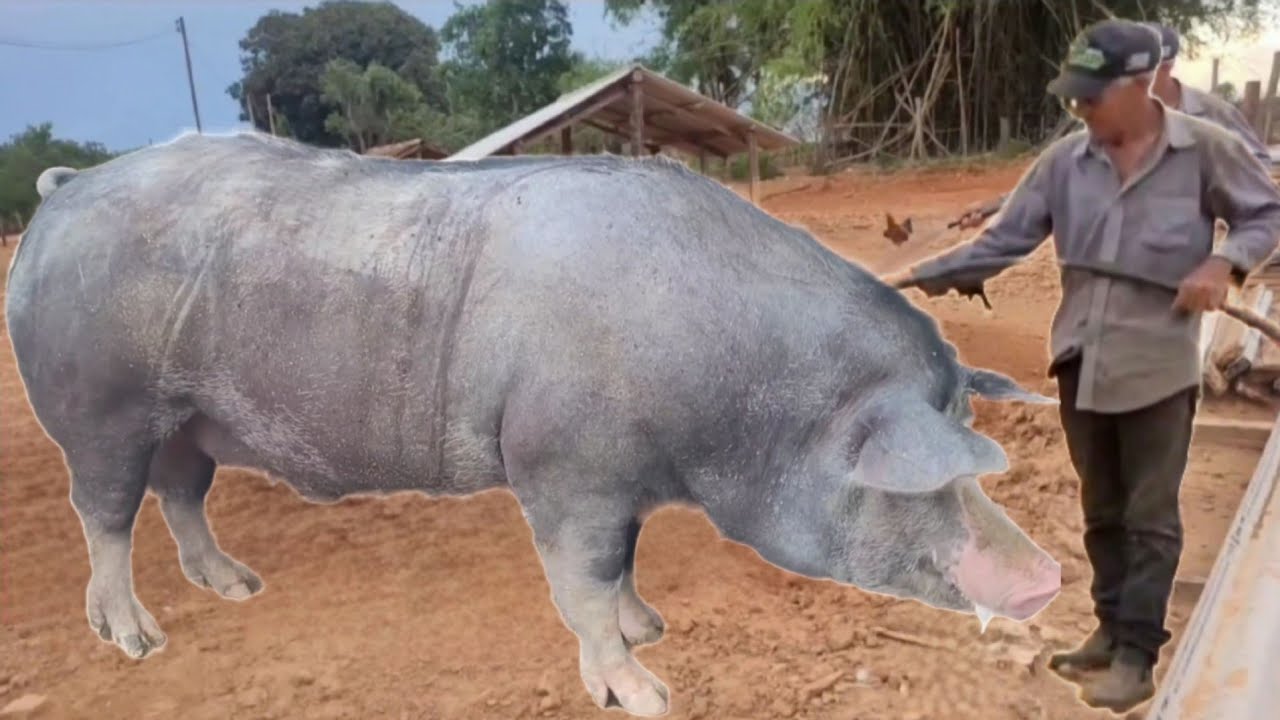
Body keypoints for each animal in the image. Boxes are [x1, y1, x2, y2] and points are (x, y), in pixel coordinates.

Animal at [6, 132, 1060, 716]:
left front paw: (653, 626)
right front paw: (647, 695)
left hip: (188, 421)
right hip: (100, 410)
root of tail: (64, 193)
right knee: (104, 515)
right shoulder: (563, 465)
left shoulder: (618, 483)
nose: (1048, 575)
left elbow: (624, 567)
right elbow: (582, 581)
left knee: (180, 496)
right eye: (922, 476)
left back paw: (236, 587)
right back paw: (137, 640)